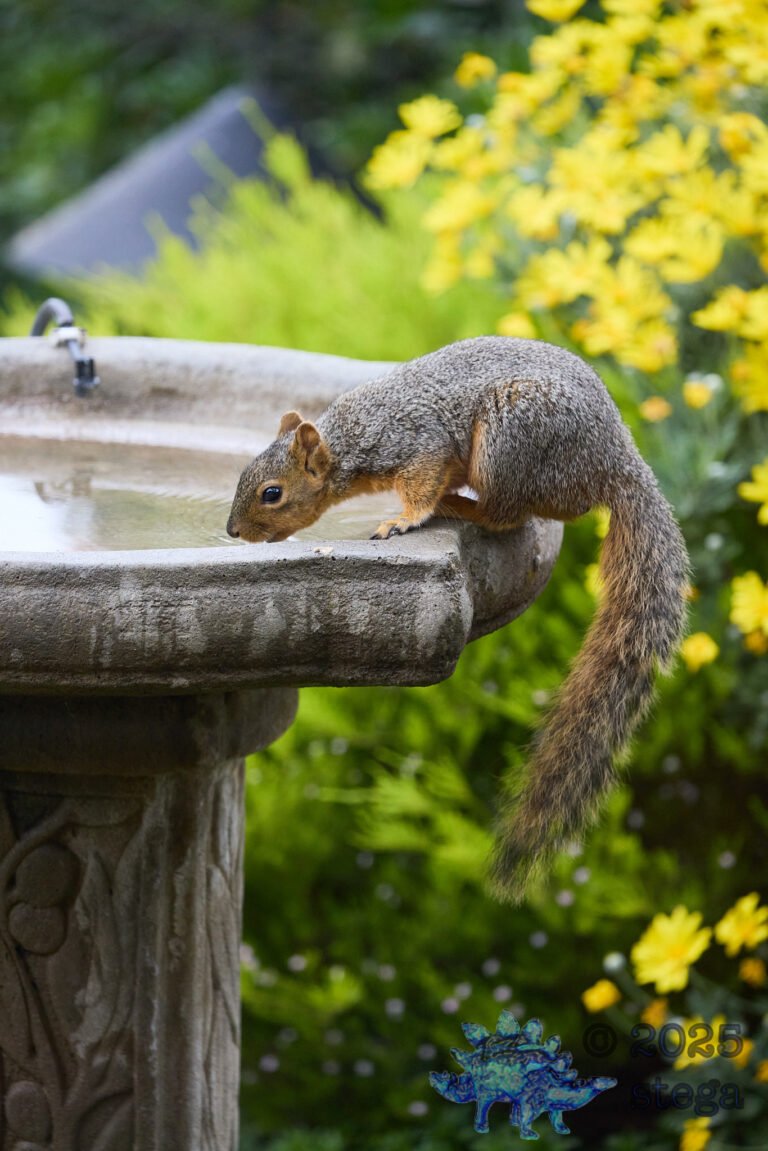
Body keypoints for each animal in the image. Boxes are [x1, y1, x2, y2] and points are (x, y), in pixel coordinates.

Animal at [227, 336, 689, 902]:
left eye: (271, 493)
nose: (231, 532)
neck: (355, 438)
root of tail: (615, 462)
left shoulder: (417, 448)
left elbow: (421, 487)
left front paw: (402, 520)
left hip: (508, 444)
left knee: (511, 513)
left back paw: (461, 506)